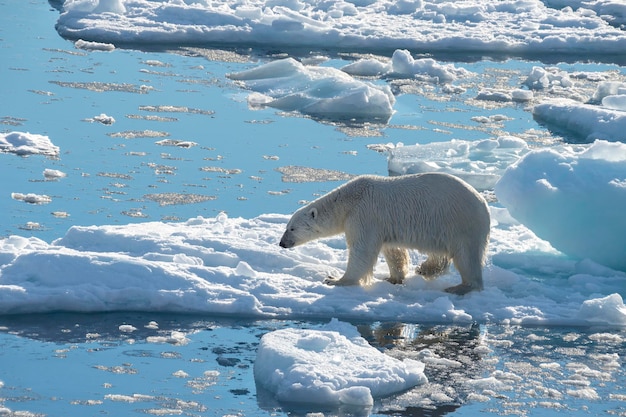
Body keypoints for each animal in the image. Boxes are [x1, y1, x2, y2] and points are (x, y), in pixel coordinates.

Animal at [278, 171, 488, 292]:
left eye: (292, 228)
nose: (282, 243)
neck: (349, 201)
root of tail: (483, 203)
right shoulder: (384, 224)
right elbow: (393, 251)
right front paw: (393, 278)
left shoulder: (364, 214)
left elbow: (361, 250)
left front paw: (335, 280)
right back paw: (425, 268)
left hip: (460, 224)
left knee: (466, 257)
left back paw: (460, 287)